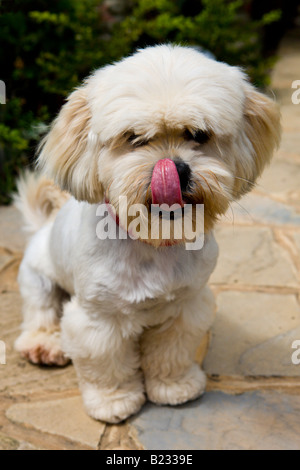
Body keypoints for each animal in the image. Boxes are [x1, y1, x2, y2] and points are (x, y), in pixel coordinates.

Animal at [14, 46, 282, 424]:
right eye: (134, 138)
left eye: (198, 135)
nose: (176, 169)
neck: (153, 241)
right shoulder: (98, 319)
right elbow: (106, 364)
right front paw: (113, 400)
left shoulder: (187, 306)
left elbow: (172, 352)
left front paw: (174, 386)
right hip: (37, 279)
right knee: (40, 313)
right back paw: (45, 343)